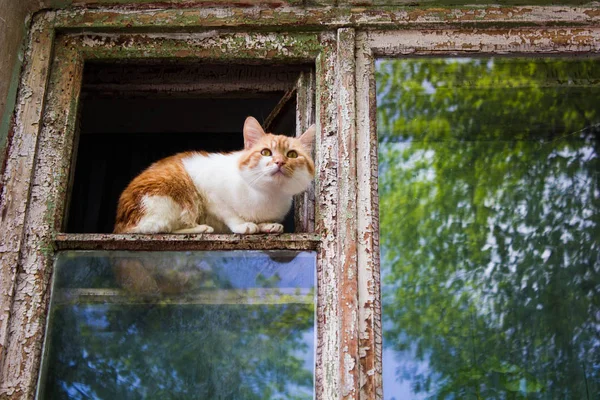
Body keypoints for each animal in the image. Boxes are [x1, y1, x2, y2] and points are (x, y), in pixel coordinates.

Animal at [114, 115, 316, 234]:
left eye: (292, 155)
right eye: (266, 152)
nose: (280, 162)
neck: (267, 194)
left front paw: (266, 224)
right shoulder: (210, 192)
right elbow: (228, 212)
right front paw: (243, 224)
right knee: (157, 229)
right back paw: (201, 228)